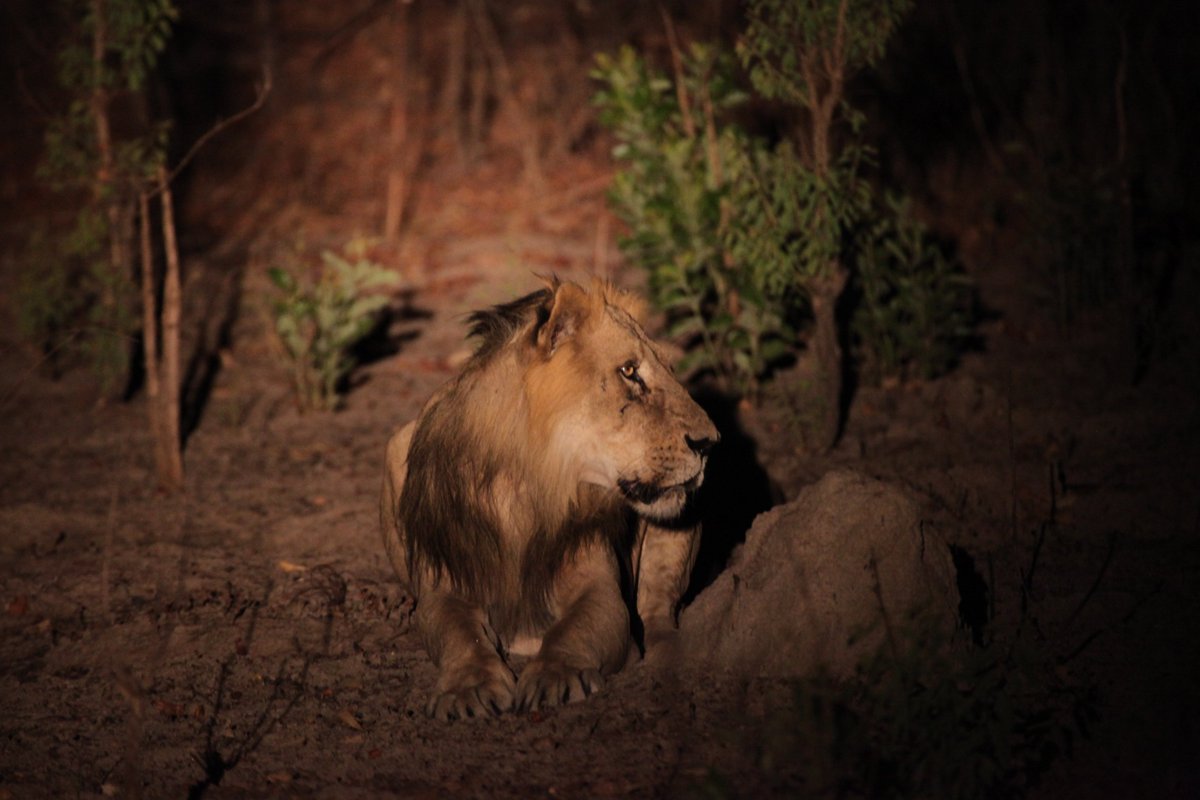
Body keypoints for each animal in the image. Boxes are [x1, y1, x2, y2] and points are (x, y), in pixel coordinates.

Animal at [380, 277, 718, 720]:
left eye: (670, 370)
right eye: (629, 371)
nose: (710, 442)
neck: (529, 485)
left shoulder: (597, 583)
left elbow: (575, 630)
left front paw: (556, 675)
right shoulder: (449, 578)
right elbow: (459, 634)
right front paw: (468, 688)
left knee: (659, 607)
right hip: (396, 446)